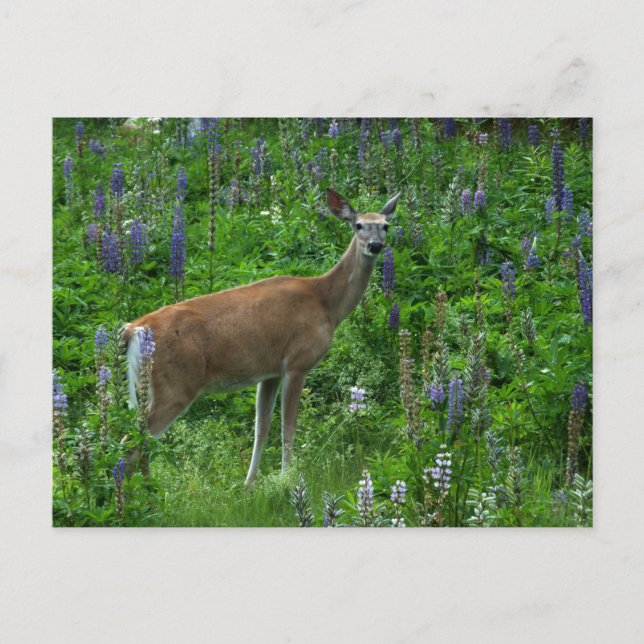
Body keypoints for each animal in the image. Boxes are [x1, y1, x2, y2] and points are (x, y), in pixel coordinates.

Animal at [123, 188, 400, 485]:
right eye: (358, 225)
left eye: (385, 225)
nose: (375, 245)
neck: (326, 303)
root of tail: (134, 329)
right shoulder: (297, 362)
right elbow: (288, 426)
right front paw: (287, 477)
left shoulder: (270, 372)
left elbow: (261, 427)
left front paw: (249, 483)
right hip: (175, 384)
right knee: (133, 443)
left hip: (145, 388)